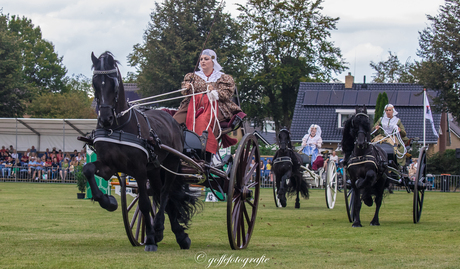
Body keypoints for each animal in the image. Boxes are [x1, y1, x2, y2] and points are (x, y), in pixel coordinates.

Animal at [83, 51, 199, 250]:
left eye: (114, 83)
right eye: (94, 83)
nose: (105, 118)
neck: (119, 127)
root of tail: (171, 118)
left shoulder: (138, 170)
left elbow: (144, 203)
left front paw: (150, 238)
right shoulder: (108, 165)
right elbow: (88, 169)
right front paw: (108, 201)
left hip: (171, 163)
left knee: (165, 193)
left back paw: (160, 227)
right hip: (154, 169)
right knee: (161, 195)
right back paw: (178, 235)